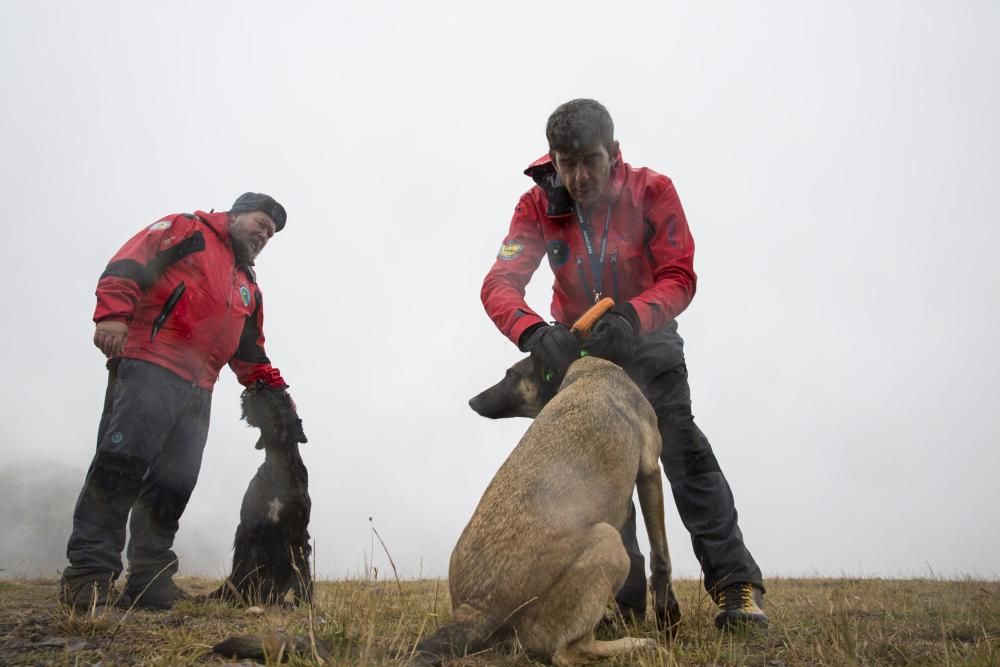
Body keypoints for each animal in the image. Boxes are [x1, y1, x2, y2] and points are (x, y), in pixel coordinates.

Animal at [207, 380, 308, 604]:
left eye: (283, 397)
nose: (260, 382)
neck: (279, 467)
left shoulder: (298, 533)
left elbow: (304, 572)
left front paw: (306, 603)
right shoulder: (248, 527)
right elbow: (243, 565)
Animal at [408, 358, 680, 664]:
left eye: (511, 374)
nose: (472, 401)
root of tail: (475, 610)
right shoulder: (650, 470)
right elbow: (660, 556)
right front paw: (667, 612)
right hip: (608, 542)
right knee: (566, 652)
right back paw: (639, 644)